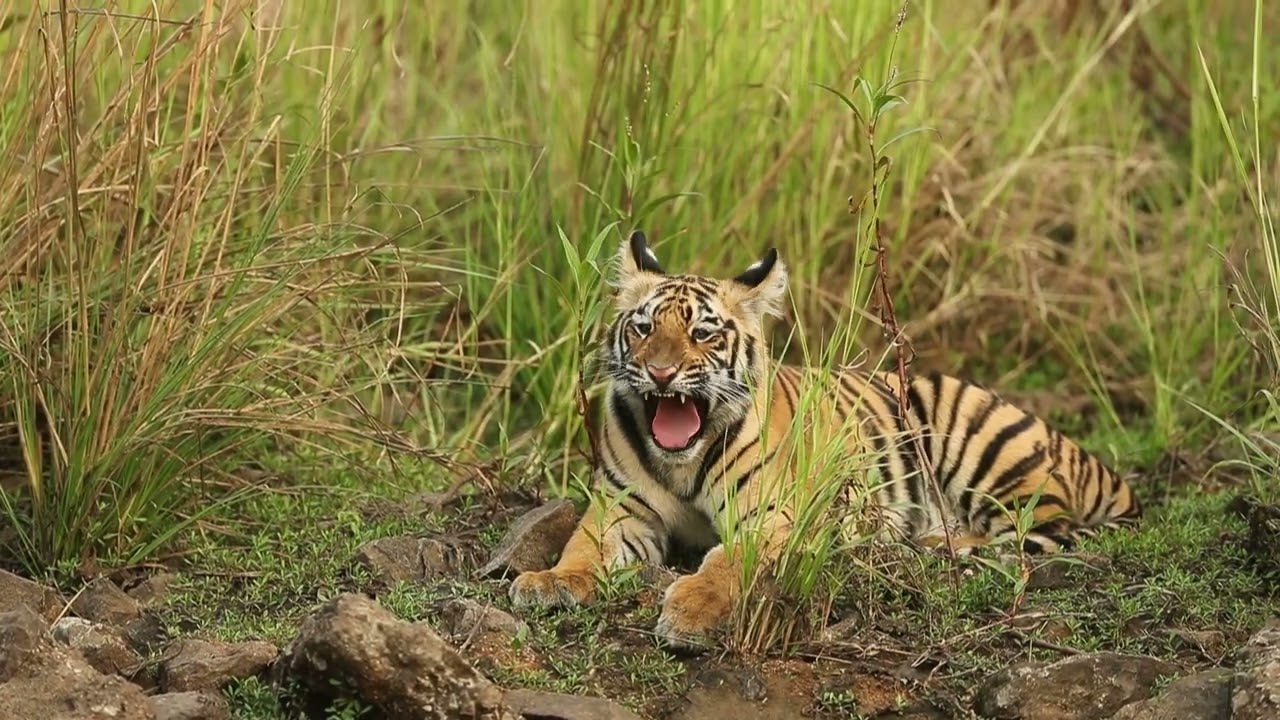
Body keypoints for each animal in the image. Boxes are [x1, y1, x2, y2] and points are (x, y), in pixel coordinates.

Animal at [508, 230, 1142, 649]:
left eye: (703, 333)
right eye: (642, 328)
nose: (660, 374)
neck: (681, 461)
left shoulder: (771, 517)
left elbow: (727, 563)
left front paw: (691, 610)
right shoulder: (620, 508)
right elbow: (582, 548)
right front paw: (548, 583)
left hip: (976, 443)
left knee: (1038, 530)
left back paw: (930, 548)